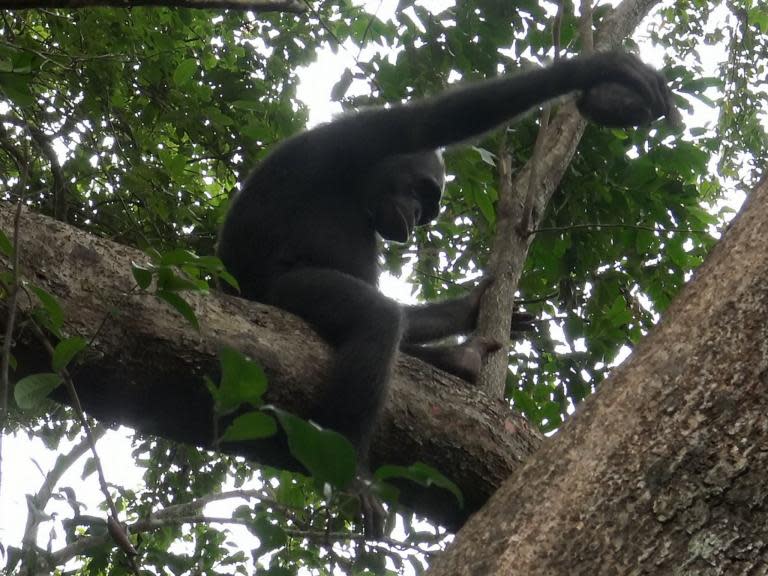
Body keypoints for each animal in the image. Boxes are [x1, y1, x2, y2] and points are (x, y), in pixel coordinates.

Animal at [218, 50, 680, 540]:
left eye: (427, 208)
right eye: (422, 192)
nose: (417, 215)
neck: (360, 186)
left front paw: (469, 309)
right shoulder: (358, 138)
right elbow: (431, 121)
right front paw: (600, 67)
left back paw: (461, 359)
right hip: (278, 293)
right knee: (377, 319)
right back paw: (356, 474)